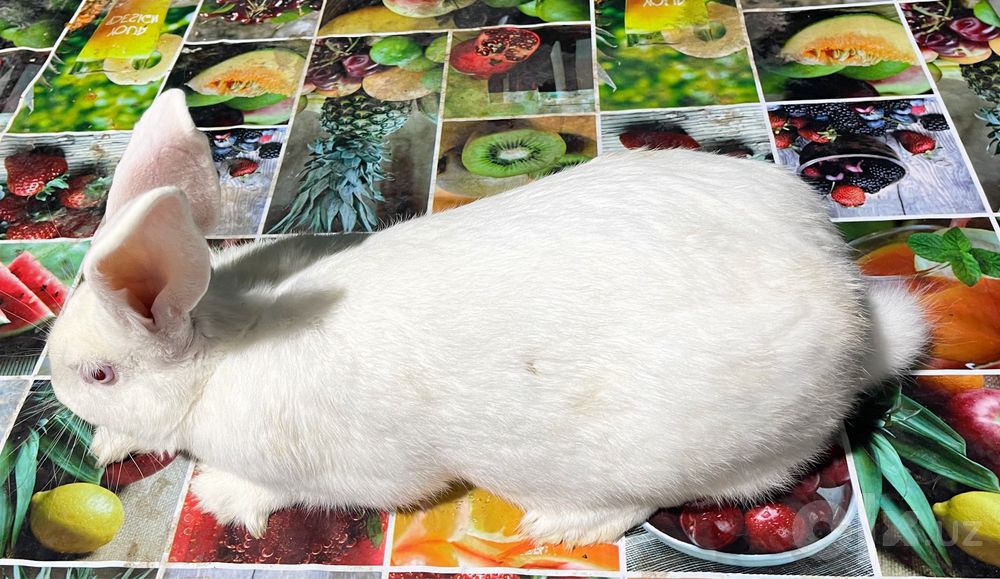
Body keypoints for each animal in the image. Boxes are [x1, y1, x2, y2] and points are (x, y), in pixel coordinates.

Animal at [46, 89, 928, 546]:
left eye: (100, 372)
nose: (57, 394)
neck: (224, 352)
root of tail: (858, 313)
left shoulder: (345, 470)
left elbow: (283, 486)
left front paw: (221, 496)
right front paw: (111, 442)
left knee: (651, 500)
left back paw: (559, 524)